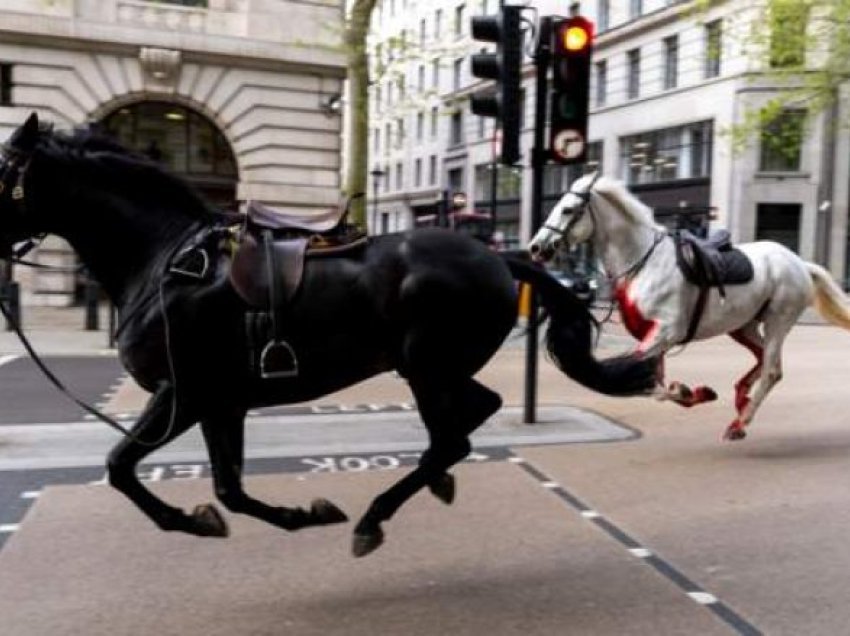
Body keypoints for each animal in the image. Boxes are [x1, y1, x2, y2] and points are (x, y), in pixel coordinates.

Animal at [0, 114, 656, 556]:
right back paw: (432, 481)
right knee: (471, 417)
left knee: (452, 438)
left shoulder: (184, 393)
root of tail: (500, 257)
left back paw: (376, 517)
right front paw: (290, 513)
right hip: (434, 367)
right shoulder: (220, 401)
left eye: (1, 167)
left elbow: (120, 466)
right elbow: (229, 488)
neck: (166, 260)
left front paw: (198, 519)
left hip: (426, 366)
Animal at [528, 174, 850, 442]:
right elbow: (652, 383)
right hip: (743, 326)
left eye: (568, 209)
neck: (644, 262)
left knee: (771, 371)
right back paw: (740, 399)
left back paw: (739, 424)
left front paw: (689, 391)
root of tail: (800, 264)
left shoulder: (666, 332)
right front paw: (692, 392)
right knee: (763, 361)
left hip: (777, 322)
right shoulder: (653, 337)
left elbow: (637, 379)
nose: (536, 247)